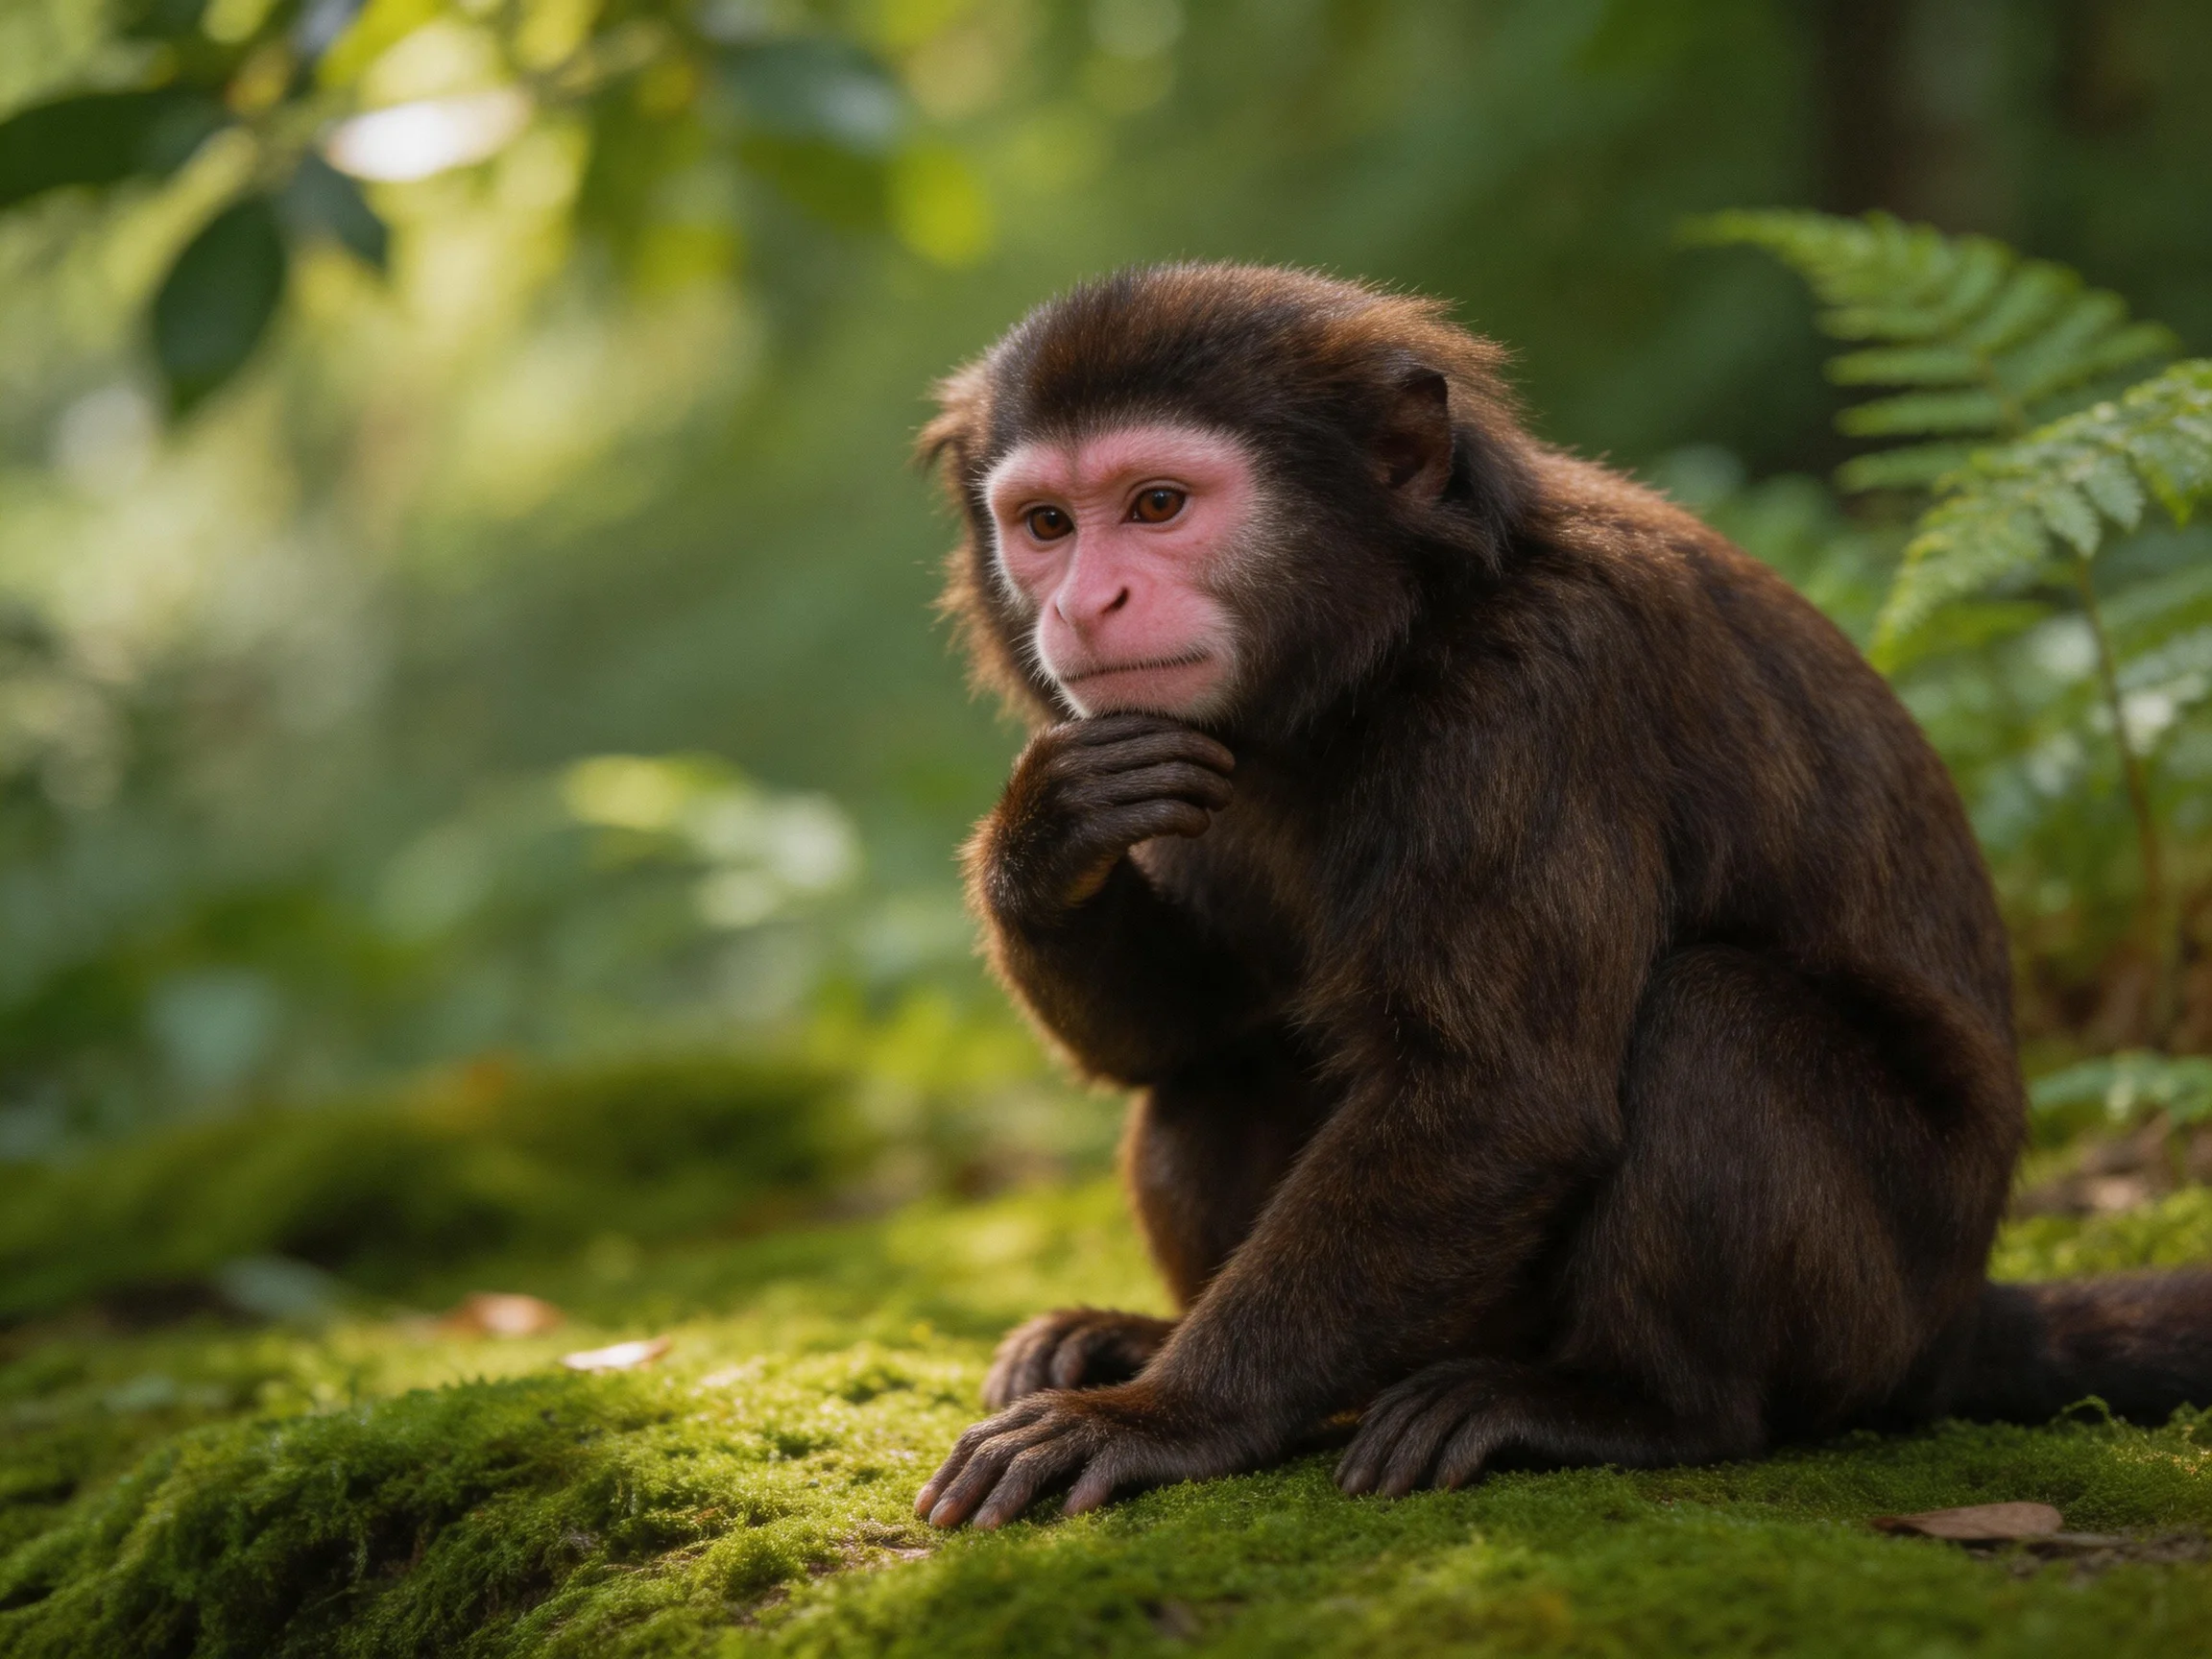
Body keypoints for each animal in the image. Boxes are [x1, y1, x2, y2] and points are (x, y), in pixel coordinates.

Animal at [909, 263, 2212, 1532]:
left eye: (1158, 507)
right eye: (1047, 525)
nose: (1086, 605)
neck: (1396, 641)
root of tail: (1955, 1320)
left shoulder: (1532, 694)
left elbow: (1499, 1101)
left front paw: (1165, 1420)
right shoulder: (1178, 747)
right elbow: (1173, 1035)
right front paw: (1043, 840)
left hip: (1874, 1316)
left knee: (1712, 1023)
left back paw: (1639, 1410)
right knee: (1218, 1067)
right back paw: (1148, 1336)